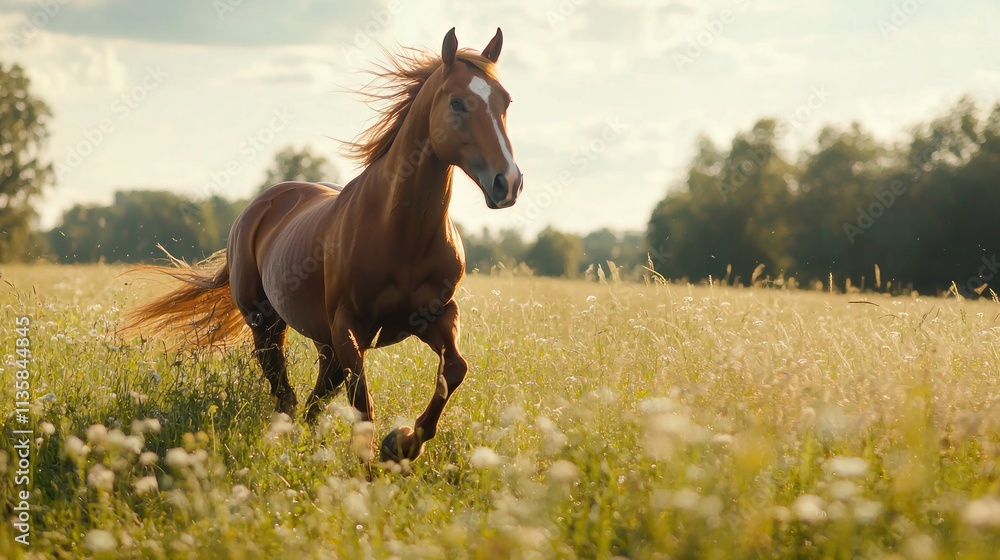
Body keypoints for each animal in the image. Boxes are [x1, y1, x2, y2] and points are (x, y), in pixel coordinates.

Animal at [125, 28, 522, 464]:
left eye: (505, 101)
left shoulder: (436, 315)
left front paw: (402, 443)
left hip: (321, 337)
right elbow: (362, 402)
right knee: (285, 391)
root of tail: (259, 206)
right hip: (266, 323)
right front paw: (372, 461)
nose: (508, 182)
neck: (400, 231)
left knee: (315, 396)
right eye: (457, 103)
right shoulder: (349, 325)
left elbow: (454, 370)